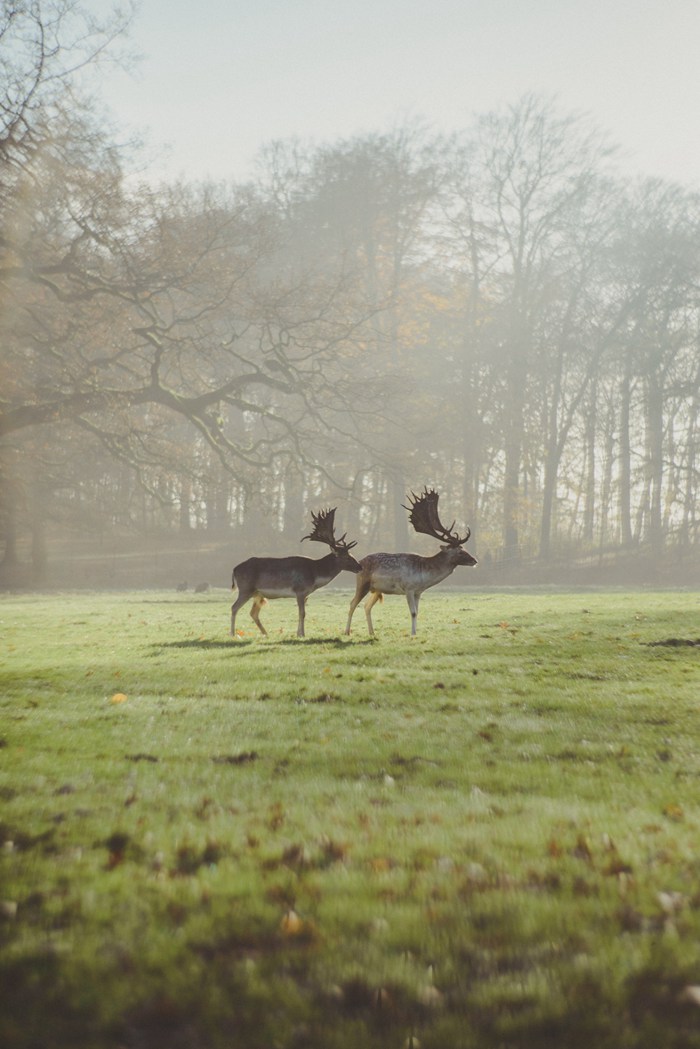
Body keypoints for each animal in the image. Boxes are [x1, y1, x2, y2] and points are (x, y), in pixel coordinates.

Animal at [230, 507, 361, 637]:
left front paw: (298, 633)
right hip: (246, 589)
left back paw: (266, 634)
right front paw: (302, 634)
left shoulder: (306, 594)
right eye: (346, 557)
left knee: (253, 613)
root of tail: (234, 569)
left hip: (258, 593)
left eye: (351, 554)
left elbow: (301, 613)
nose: (360, 567)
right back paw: (232, 634)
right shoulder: (300, 590)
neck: (315, 574)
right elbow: (302, 613)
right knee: (234, 607)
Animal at [344, 486, 476, 633]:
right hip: (363, 583)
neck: (424, 577)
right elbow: (412, 612)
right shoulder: (408, 588)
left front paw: (416, 633)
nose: (474, 560)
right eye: (459, 551)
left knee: (367, 606)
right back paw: (347, 631)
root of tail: (359, 563)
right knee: (352, 604)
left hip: (376, 589)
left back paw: (372, 633)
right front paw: (412, 634)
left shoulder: (418, 592)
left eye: (463, 547)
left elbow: (417, 612)